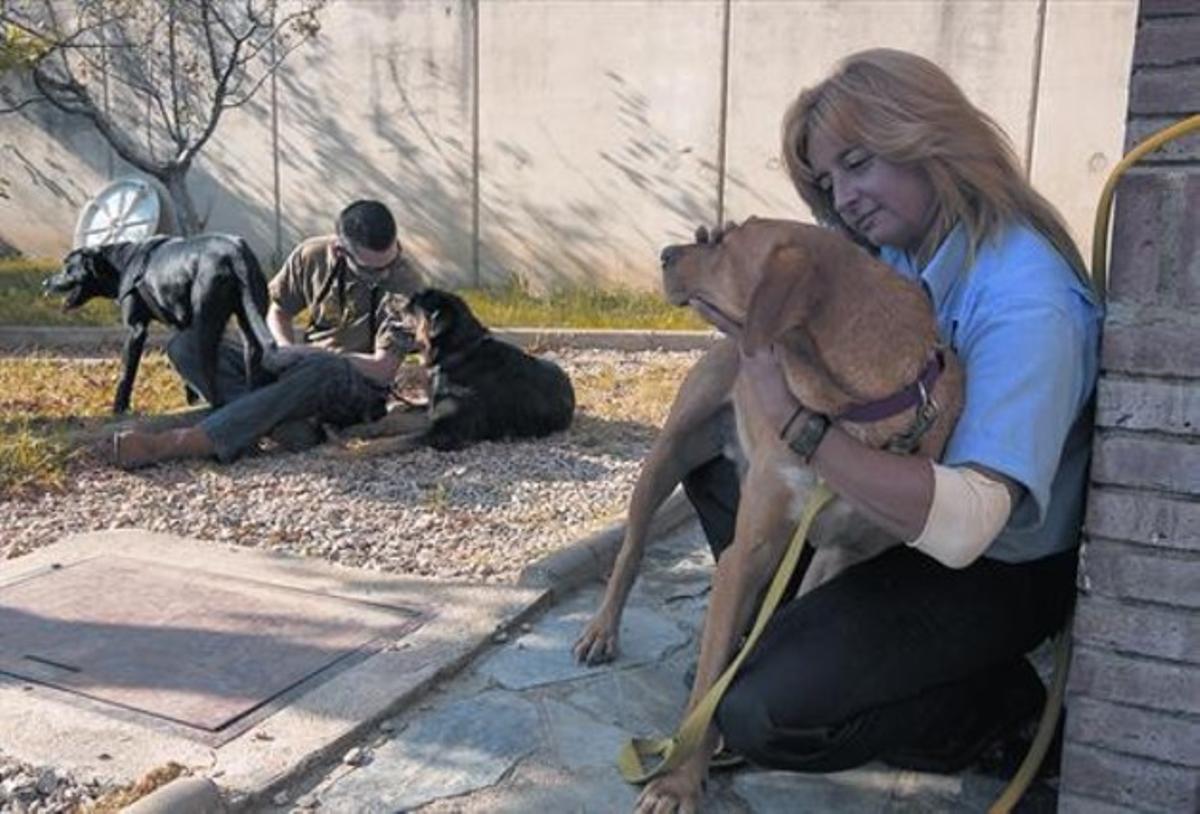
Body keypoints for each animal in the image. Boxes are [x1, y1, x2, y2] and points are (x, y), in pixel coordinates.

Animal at [45, 236, 276, 415]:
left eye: (68, 268)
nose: (45, 283)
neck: (120, 263)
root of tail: (235, 253)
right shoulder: (179, 324)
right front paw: (192, 399)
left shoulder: (136, 330)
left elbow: (126, 373)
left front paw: (119, 407)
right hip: (248, 318)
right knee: (252, 350)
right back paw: (251, 395)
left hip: (204, 326)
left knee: (208, 365)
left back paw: (216, 403)